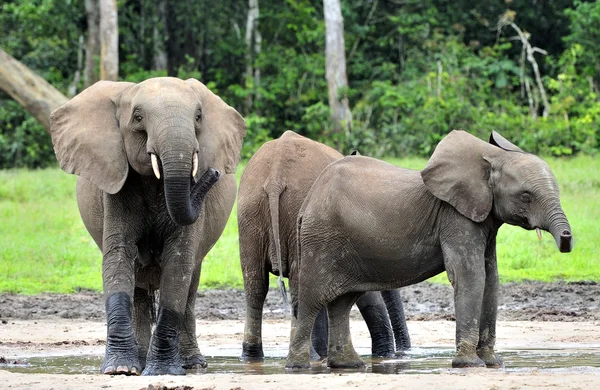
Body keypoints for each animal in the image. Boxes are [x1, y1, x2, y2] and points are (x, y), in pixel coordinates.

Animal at [49, 77, 246, 374]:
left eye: (199, 117)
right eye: (138, 118)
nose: (213, 172)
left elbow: (178, 264)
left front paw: (163, 370)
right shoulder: (115, 188)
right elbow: (118, 257)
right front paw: (119, 369)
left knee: (190, 286)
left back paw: (191, 364)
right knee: (139, 289)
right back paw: (139, 363)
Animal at [237, 130, 410, 362]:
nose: (403, 352)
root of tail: (275, 177)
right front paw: (383, 354)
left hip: (249, 213)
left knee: (255, 286)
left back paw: (253, 356)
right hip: (293, 209)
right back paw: (308, 355)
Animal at [288, 130, 576, 368]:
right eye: (526, 196)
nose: (566, 238)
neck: (492, 159)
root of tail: (307, 204)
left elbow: (491, 280)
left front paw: (493, 363)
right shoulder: (456, 217)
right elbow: (471, 277)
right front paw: (469, 365)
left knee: (342, 303)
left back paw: (348, 365)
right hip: (320, 241)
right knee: (312, 300)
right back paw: (299, 367)